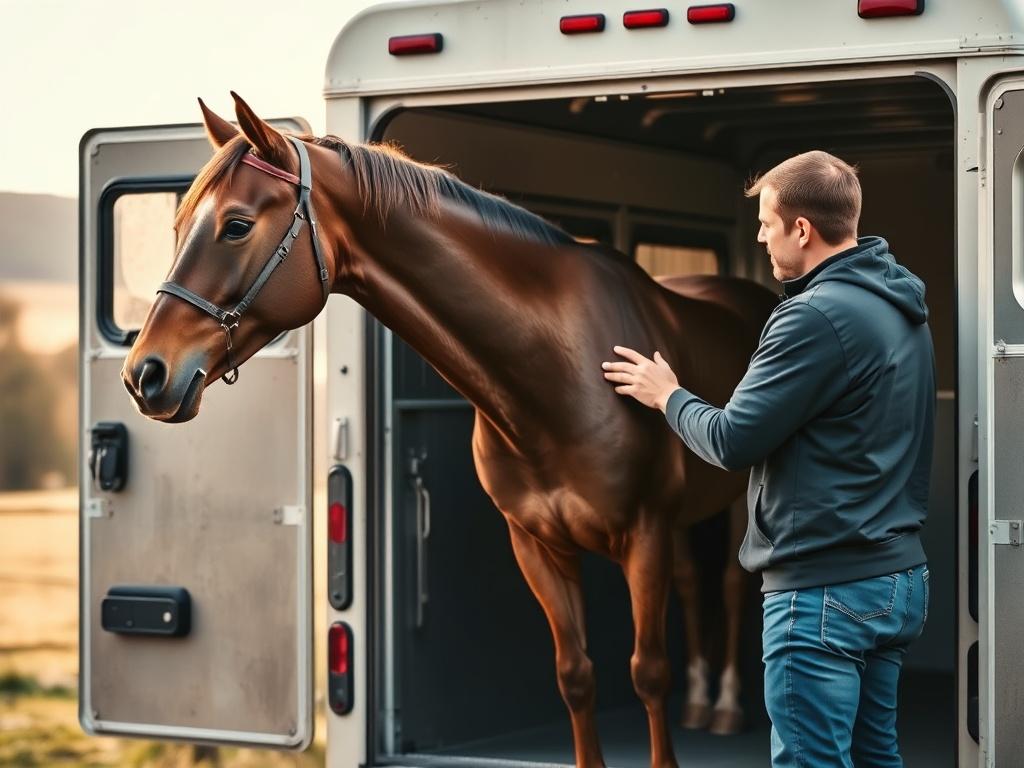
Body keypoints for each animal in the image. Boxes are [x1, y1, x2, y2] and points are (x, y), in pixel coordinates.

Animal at [122, 93, 775, 768]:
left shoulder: (642, 535)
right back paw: (703, 703)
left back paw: (726, 706)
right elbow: (576, 676)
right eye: (177, 226)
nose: (146, 374)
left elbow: (648, 673)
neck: (560, 372)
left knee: (728, 585)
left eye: (237, 226)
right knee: (694, 584)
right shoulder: (539, 546)